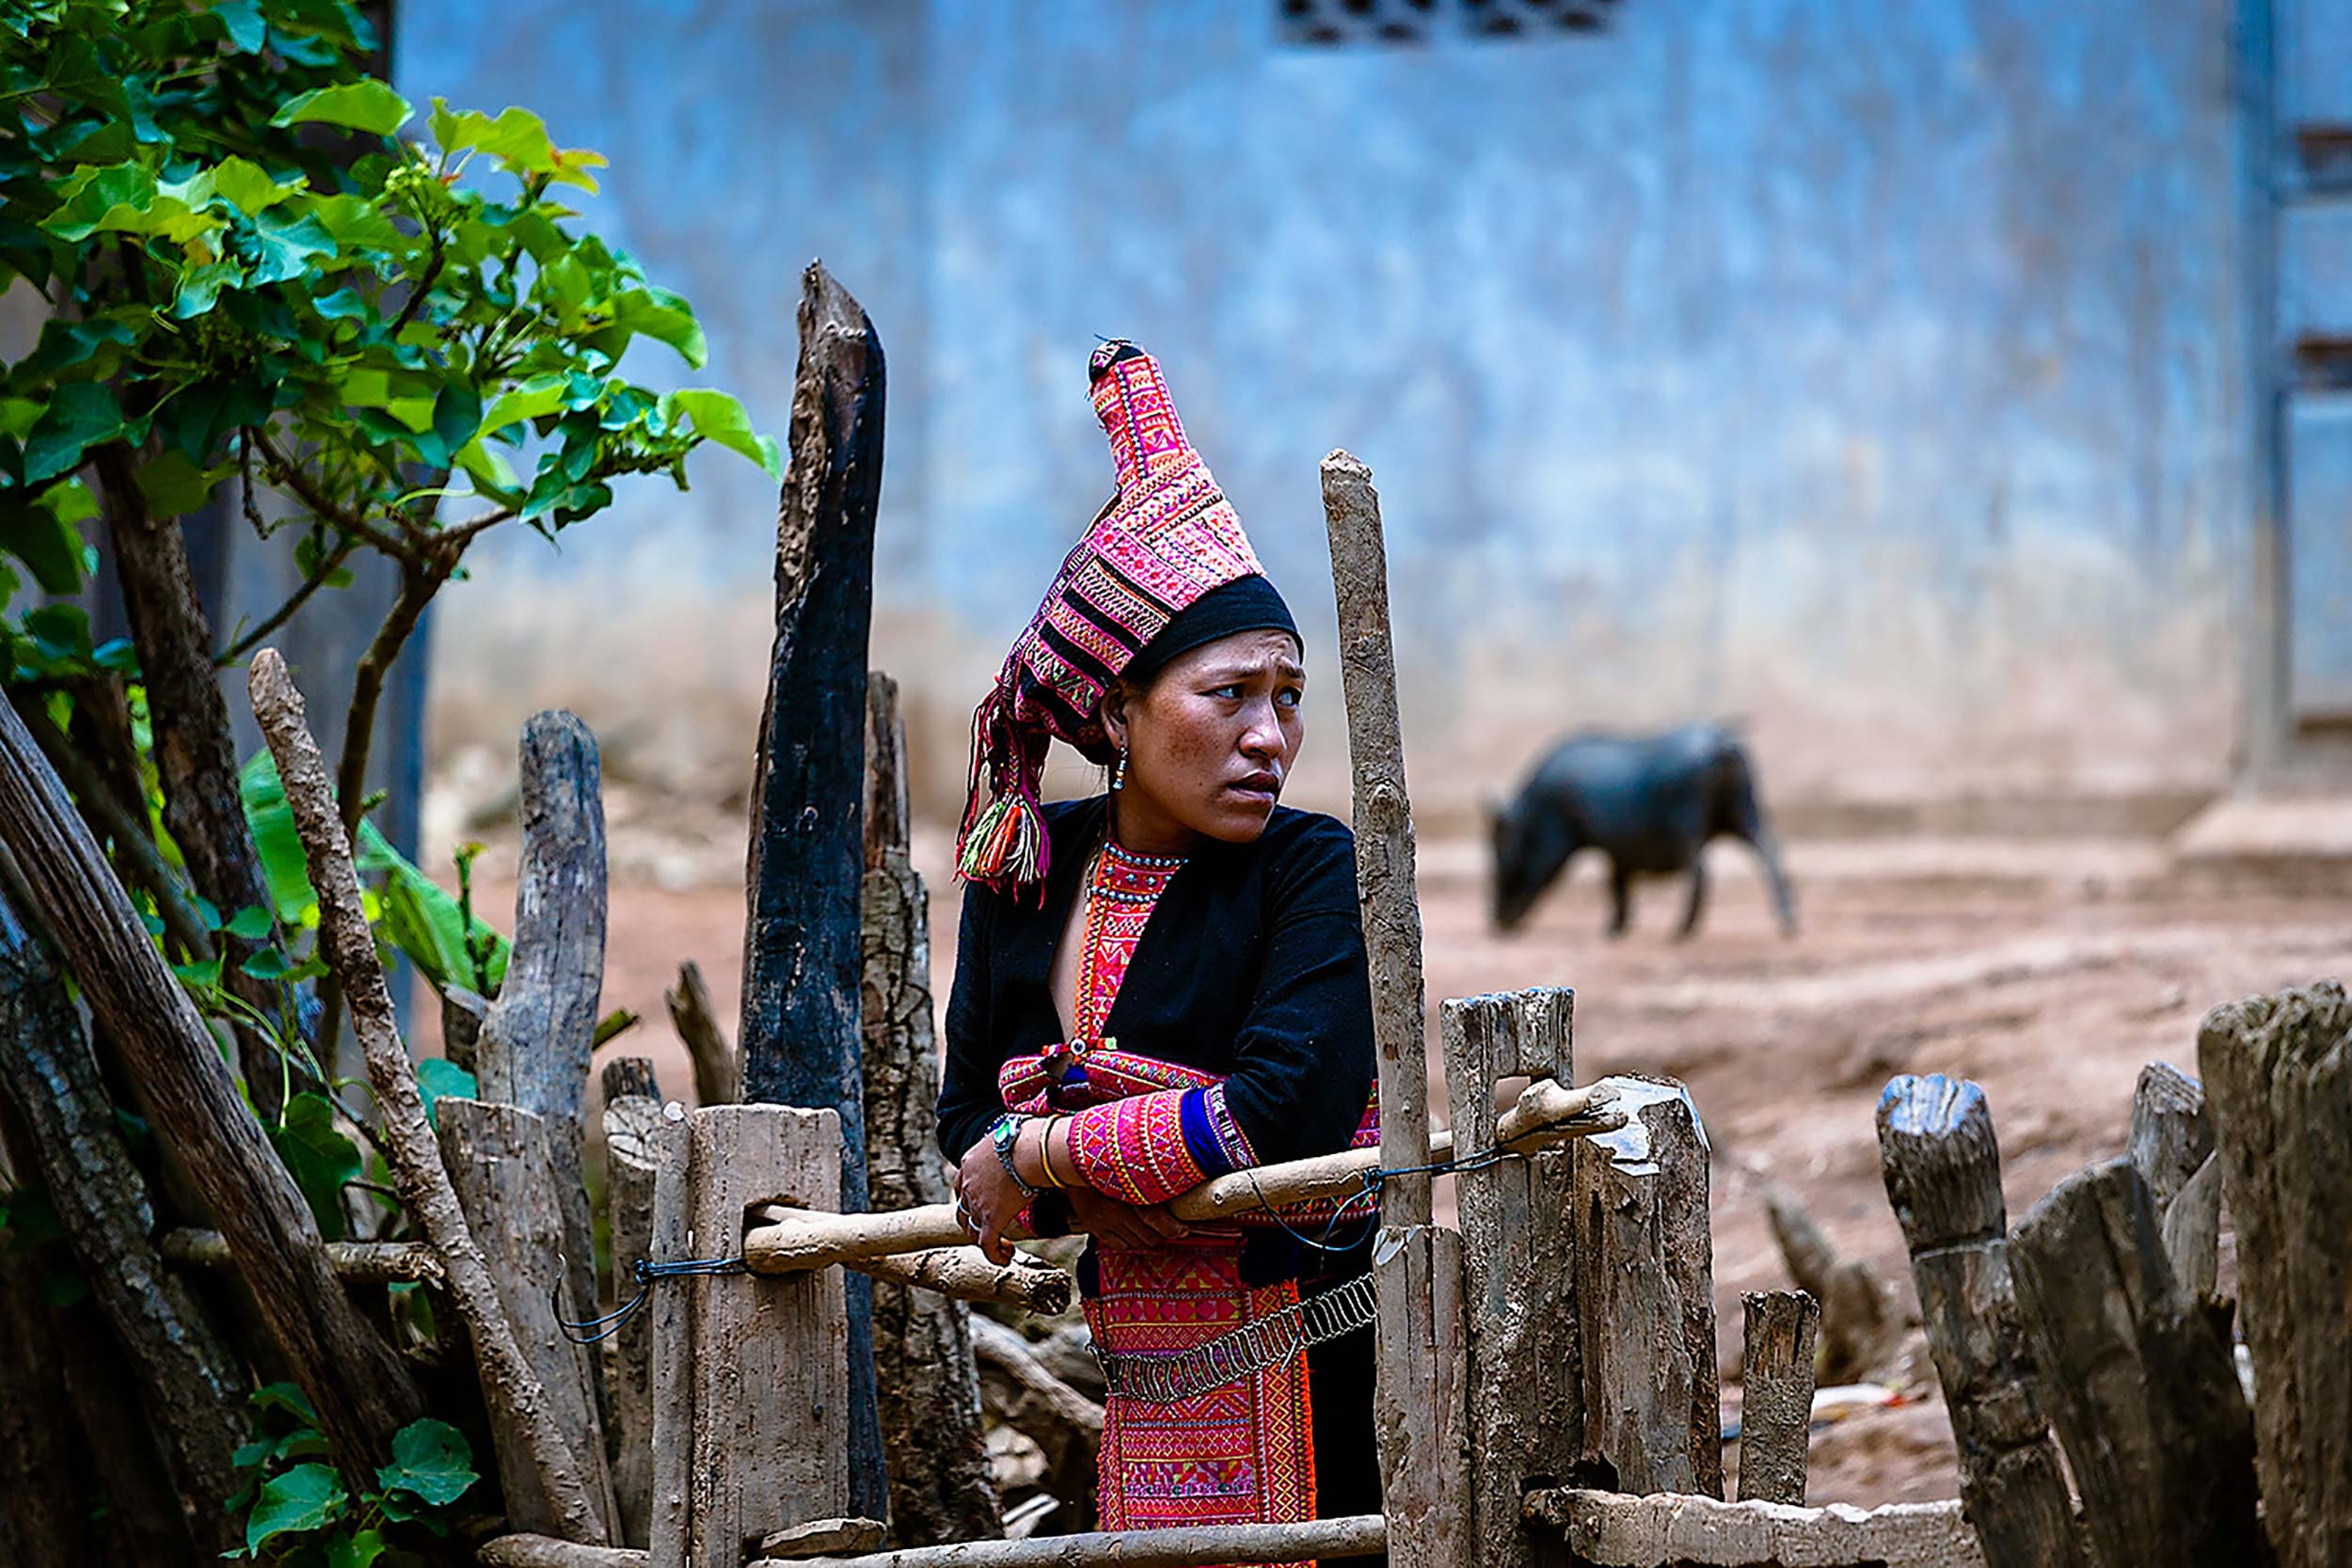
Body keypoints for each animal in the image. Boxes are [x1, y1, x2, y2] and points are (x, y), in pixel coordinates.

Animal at [1486, 719, 1797, 930]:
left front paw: (1610, 930)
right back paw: (1787, 923)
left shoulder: (1572, 837)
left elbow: (1613, 883)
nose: (1497, 924)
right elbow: (1618, 880)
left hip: (1688, 821)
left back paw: (1678, 932)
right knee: (1771, 851)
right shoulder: (1617, 849)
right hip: (1744, 807)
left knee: (1700, 871)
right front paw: (1616, 928)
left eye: (1506, 858)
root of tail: (1720, 742)